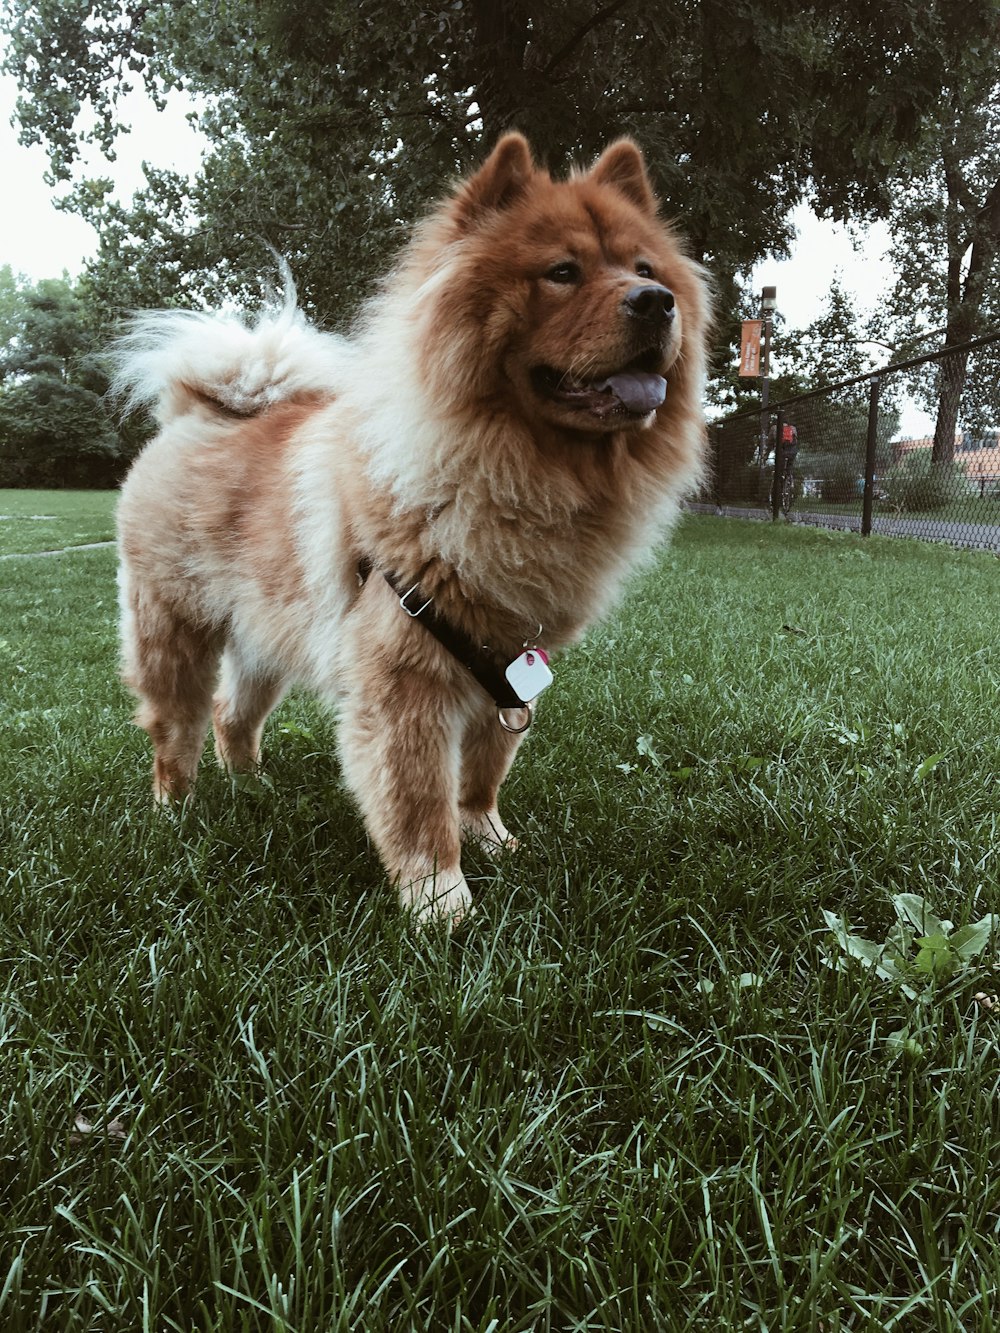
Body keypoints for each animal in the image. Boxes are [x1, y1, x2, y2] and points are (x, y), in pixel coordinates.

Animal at [111, 135, 714, 927]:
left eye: (645, 270)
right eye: (562, 272)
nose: (655, 301)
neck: (527, 474)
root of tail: (200, 413)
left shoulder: (508, 664)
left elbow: (483, 773)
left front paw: (494, 841)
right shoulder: (406, 676)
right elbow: (419, 798)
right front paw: (442, 905)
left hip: (268, 635)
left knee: (230, 714)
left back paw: (253, 789)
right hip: (174, 624)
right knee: (175, 723)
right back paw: (178, 811)